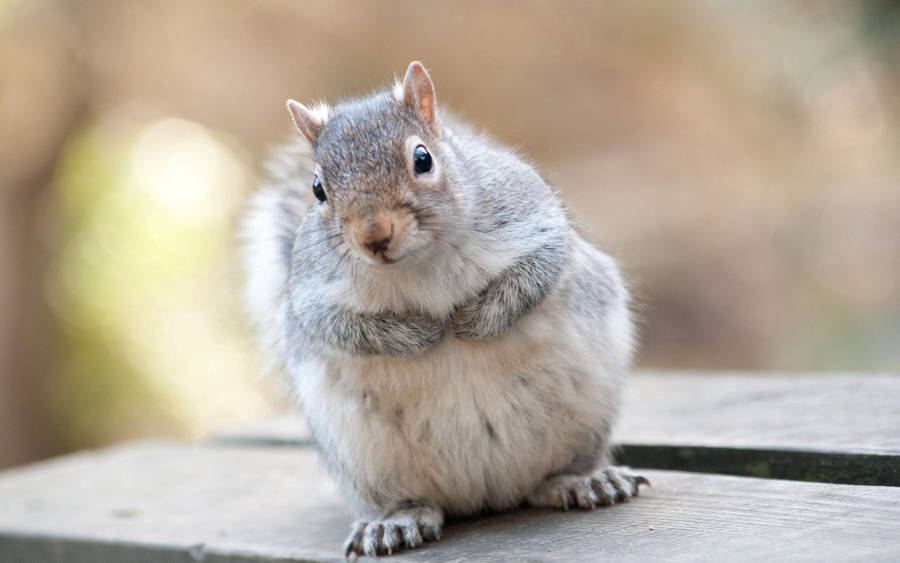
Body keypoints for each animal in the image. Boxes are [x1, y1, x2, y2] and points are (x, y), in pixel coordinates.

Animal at [241, 61, 648, 558]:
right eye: (317, 189)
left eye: (423, 159)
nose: (374, 236)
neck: (419, 262)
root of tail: (489, 493)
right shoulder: (310, 292)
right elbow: (338, 326)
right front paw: (418, 334)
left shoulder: (533, 216)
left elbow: (539, 267)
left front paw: (475, 320)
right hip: (363, 459)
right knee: (409, 500)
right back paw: (395, 522)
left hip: (586, 415)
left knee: (556, 473)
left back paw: (583, 480)